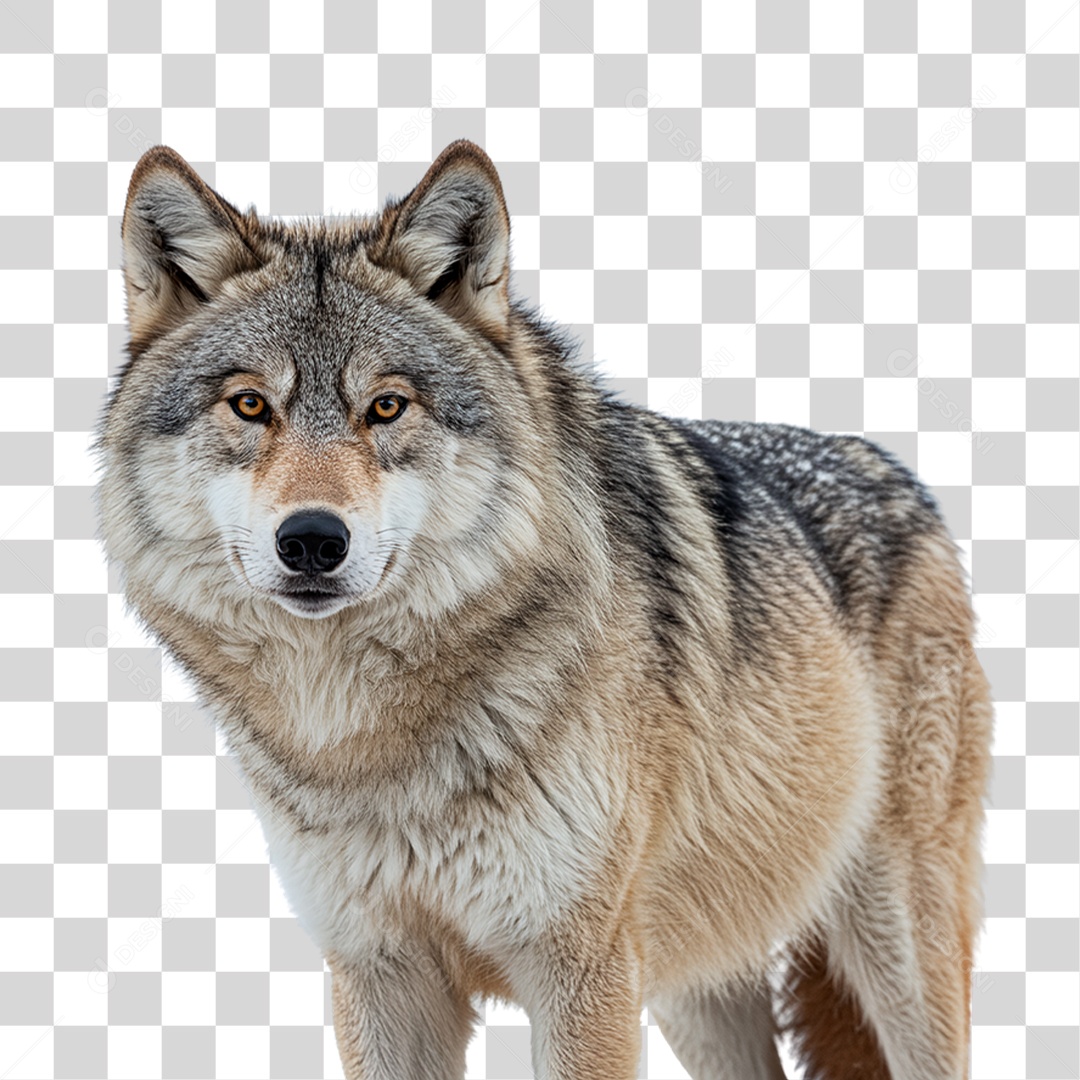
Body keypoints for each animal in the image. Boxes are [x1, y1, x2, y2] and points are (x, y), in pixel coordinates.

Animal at [96, 139, 993, 1079]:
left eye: (386, 405)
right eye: (249, 405)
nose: (311, 540)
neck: (371, 749)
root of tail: (896, 471)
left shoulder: (580, 970)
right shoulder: (378, 972)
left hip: (894, 946)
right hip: (694, 993)